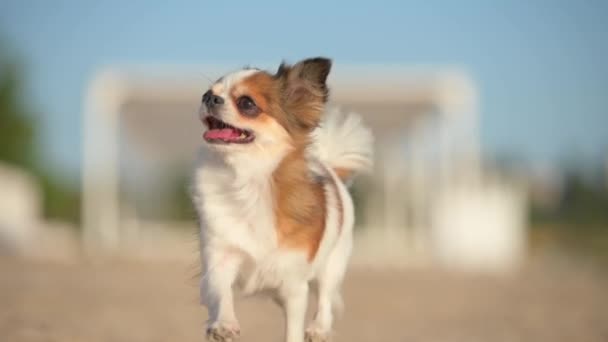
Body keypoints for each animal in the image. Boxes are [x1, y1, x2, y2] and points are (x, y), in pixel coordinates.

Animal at [192, 57, 372, 340]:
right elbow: (221, 292)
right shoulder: (220, 257)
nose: (208, 98)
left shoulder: (294, 287)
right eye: (208, 92)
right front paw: (223, 323)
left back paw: (319, 328)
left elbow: (294, 330)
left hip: (333, 263)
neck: (249, 180)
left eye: (247, 103)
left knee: (325, 297)